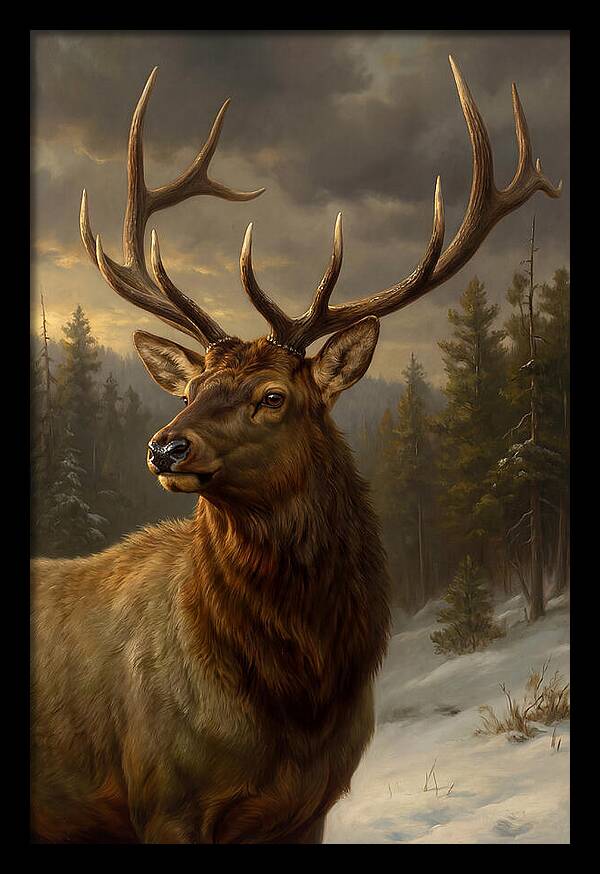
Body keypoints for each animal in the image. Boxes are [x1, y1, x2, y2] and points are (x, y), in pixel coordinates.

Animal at [30, 57, 561, 844]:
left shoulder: (310, 805)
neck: (295, 702)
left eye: (273, 396)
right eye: (191, 387)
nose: (164, 447)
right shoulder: (162, 797)